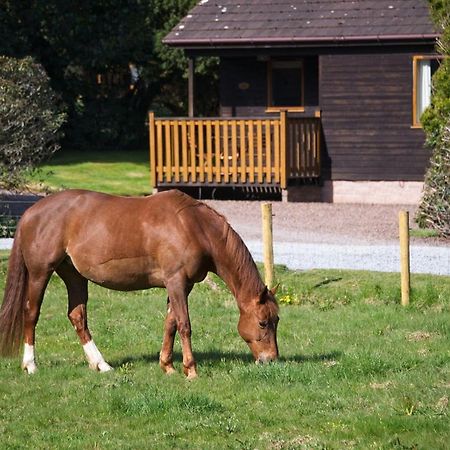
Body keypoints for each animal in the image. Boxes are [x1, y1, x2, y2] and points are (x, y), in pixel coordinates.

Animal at [0, 188, 278, 378]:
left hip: (74, 276)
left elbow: (170, 324)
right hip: (40, 273)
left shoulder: (181, 286)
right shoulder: (177, 282)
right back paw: (30, 365)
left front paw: (167, 365)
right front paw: (190, 370)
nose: (271, 359)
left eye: (276, 321)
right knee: (31, 313)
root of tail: (31, 212)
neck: (193, 226)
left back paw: (100, 364)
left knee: (77, 316)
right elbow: (184, 325)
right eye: (263, 323)